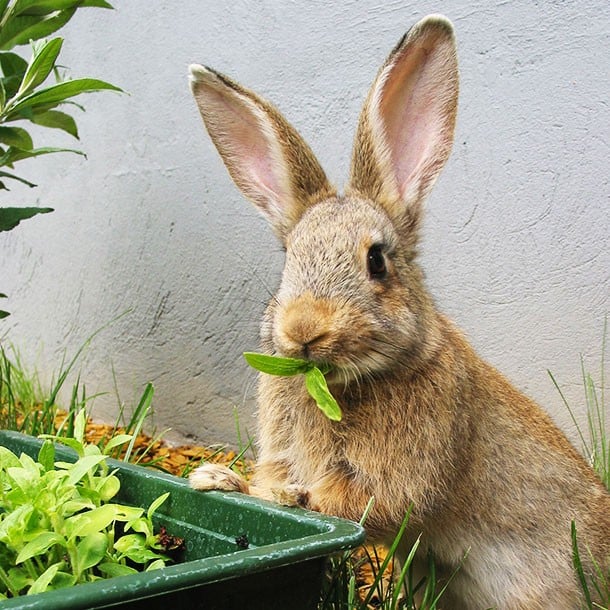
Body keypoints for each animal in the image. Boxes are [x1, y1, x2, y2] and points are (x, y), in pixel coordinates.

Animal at [188, 14, 604, 608]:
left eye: (377, 261)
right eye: (289, 257)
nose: (304, 329)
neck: (344, 382)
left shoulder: (398, 475)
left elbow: (344, 502)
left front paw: (256, 491)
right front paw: (215, 480)